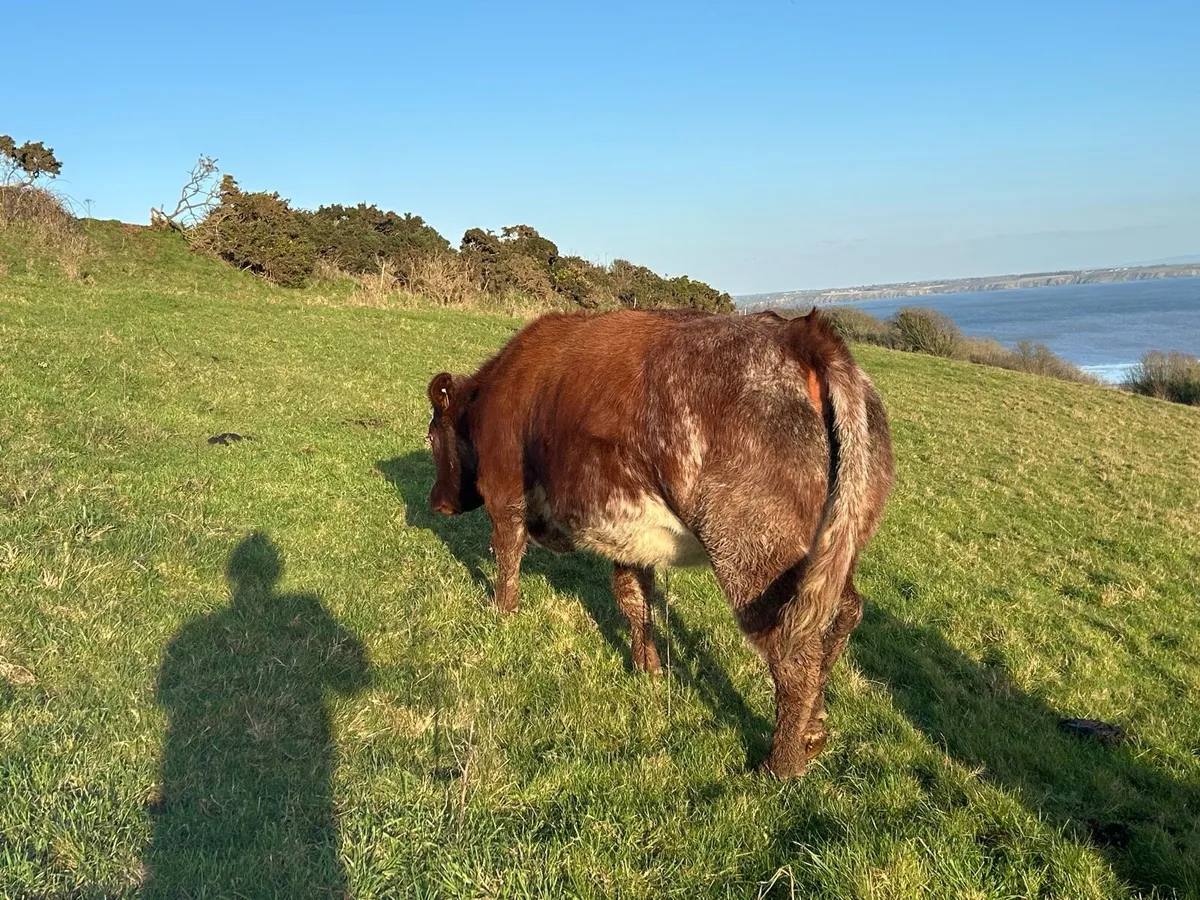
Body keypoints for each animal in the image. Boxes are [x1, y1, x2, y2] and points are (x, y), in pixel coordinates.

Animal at [424, 307, 893, 778]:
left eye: (431, 436)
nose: (435, 503)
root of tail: (800, 332)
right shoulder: (628, 534)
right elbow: (634, 598)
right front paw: (647, 666)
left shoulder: (504, 495)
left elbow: (507, 555)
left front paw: (502, 611)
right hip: (831, 555)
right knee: (843, 613)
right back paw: (814, 725)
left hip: (754, 557)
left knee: (793, 654)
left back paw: (781, 763)